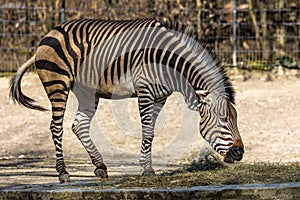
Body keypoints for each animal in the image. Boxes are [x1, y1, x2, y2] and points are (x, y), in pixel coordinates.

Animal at [9, 18, 244, 183]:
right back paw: (63, 173)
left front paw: (146, 167)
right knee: (56, 127)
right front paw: (147, 170)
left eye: (236, 119)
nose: (240, 153)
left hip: (86, 91)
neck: (169, 63)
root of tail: (51, 31)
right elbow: (147, 132)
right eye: (223, 119)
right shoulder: (145, 92)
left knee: (79, 125)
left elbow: (151, 132)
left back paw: (100, 167)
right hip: (57, 83)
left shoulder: (160, 98)